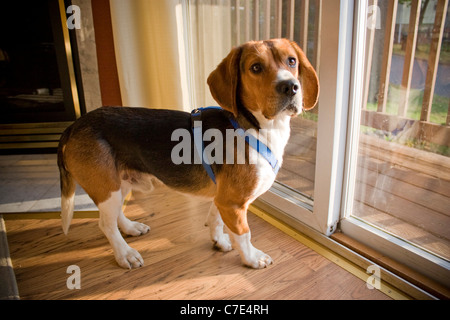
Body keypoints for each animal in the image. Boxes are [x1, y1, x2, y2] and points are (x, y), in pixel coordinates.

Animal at [59, 39, 320, 270]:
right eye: (256, 67)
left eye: (292, 61)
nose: (290, 87)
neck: (255, 125)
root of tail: (75, 125)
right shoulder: (233, 202)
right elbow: (244, 234)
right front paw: (252, 258)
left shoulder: (222, 199)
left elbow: (215, 221)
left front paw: (220, 241)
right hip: (107, 187)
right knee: (106, 224)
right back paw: (125, 254)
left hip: (118, 182)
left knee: (115, 217)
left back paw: (131, 228)